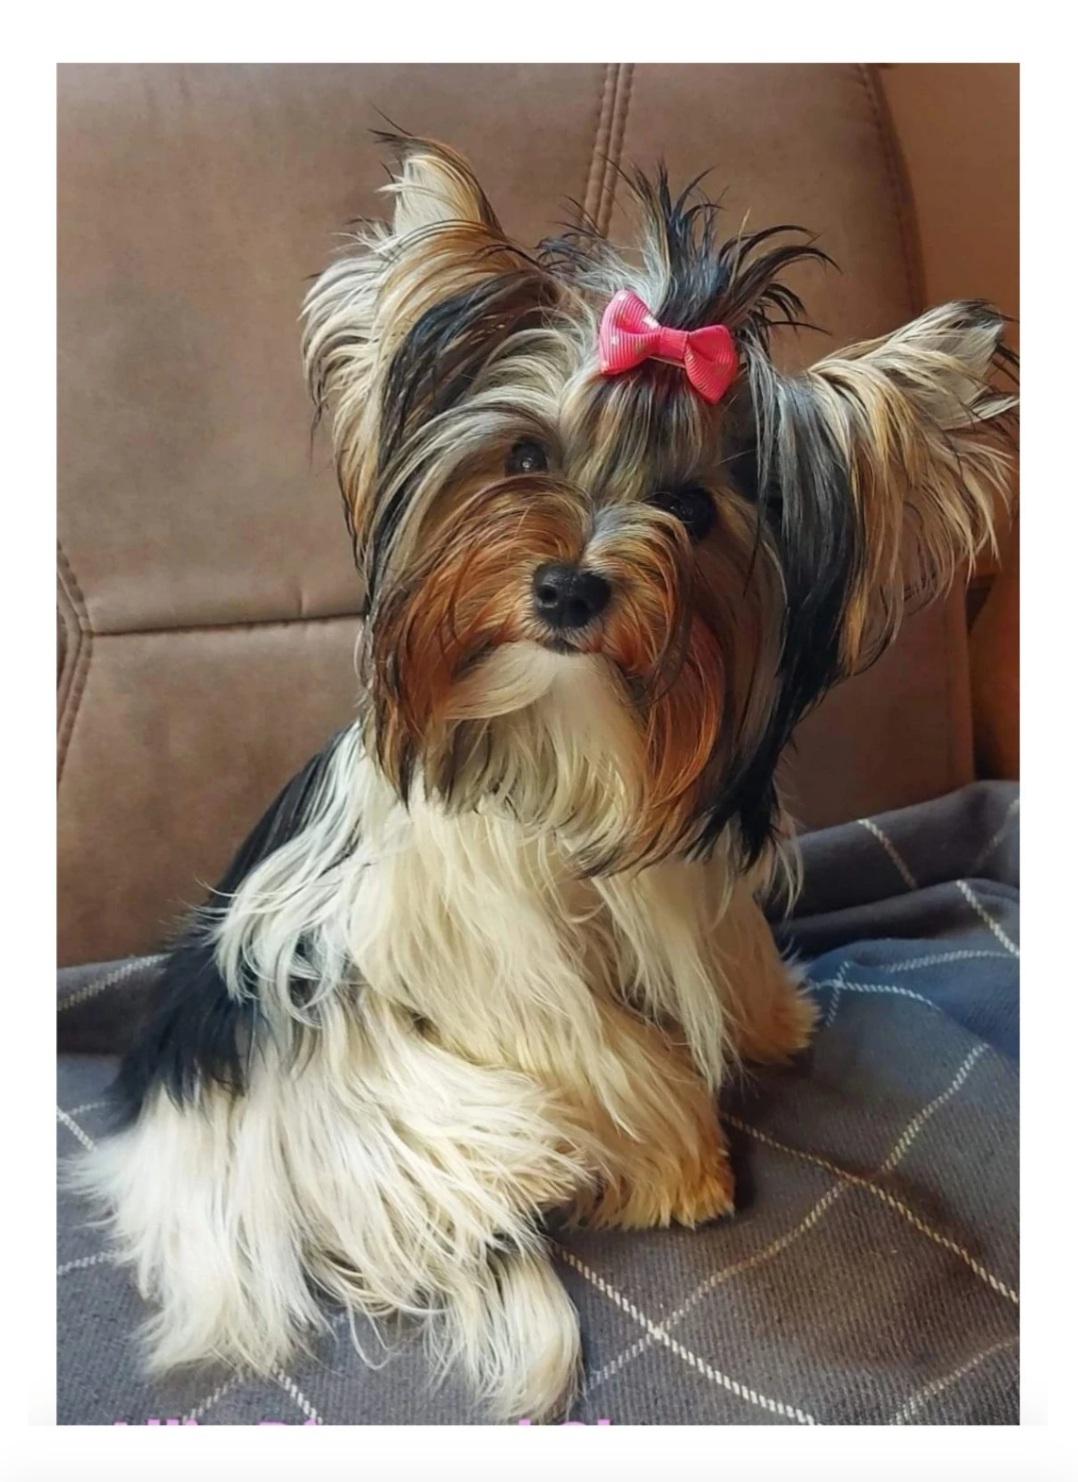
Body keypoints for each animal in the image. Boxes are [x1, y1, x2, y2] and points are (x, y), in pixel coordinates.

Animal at [73, 136, 1017, 1423]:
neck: (567, 726)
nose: (570, 587)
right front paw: (686, 1166)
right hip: (394, 1099)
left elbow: (724, 948)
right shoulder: (478, 943)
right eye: (523, 456)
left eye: (694, 508)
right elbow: (605, 1050)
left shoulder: (689, 871)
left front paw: (772, 1021)